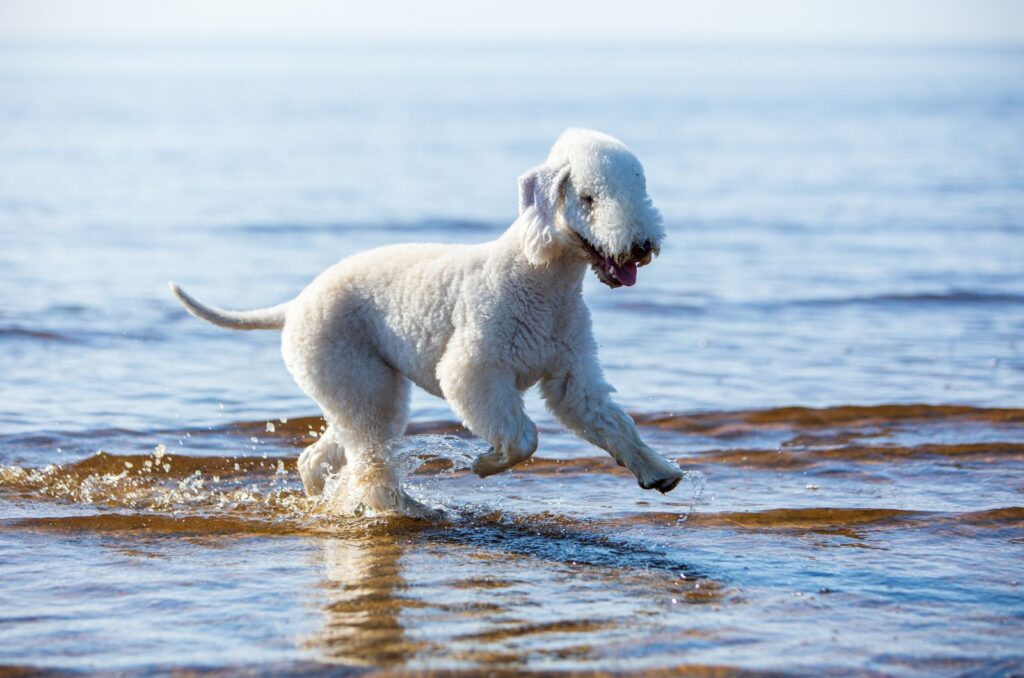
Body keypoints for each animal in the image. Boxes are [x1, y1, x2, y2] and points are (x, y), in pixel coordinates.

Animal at [172, 129, 684, 516]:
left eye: (640, 190)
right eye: (589, 199)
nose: (641, 245)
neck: (542, 278)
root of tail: (295, 304)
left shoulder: (571, 374)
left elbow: (609, 422)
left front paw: (660, 473)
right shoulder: (476, 370)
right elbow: (524, 437)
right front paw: (486, 463)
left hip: (359, 388)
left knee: (320, 456)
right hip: (354, 376)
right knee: (367, 461)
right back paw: (404, 509)